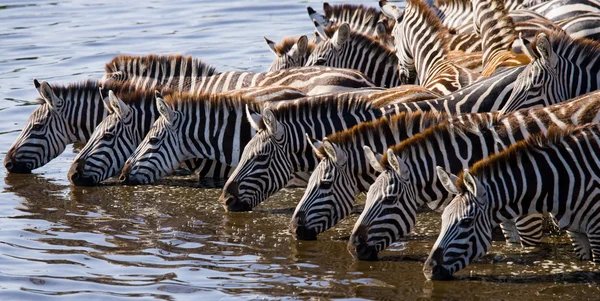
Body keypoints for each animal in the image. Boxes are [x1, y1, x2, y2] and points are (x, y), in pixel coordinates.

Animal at [350, 91, 600, 258]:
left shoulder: (529, 217)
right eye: (368, 195)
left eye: (389, 199)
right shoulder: (502, 217)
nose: (353, 247)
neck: (483, 152)